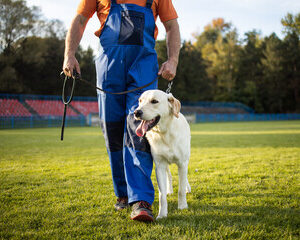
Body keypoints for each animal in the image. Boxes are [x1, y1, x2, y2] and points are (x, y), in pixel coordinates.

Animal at [135, 89, 191, 218]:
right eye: (140, 101)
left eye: (154, 101)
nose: (136, 112)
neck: (165, 134)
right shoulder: (160, 165)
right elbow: (161, 195)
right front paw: (162, 214)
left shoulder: (182, 163)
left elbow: (181, 189)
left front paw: (182, 206)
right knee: (169, 176)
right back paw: (169, 190)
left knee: (184, 178)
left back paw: (187, 188)